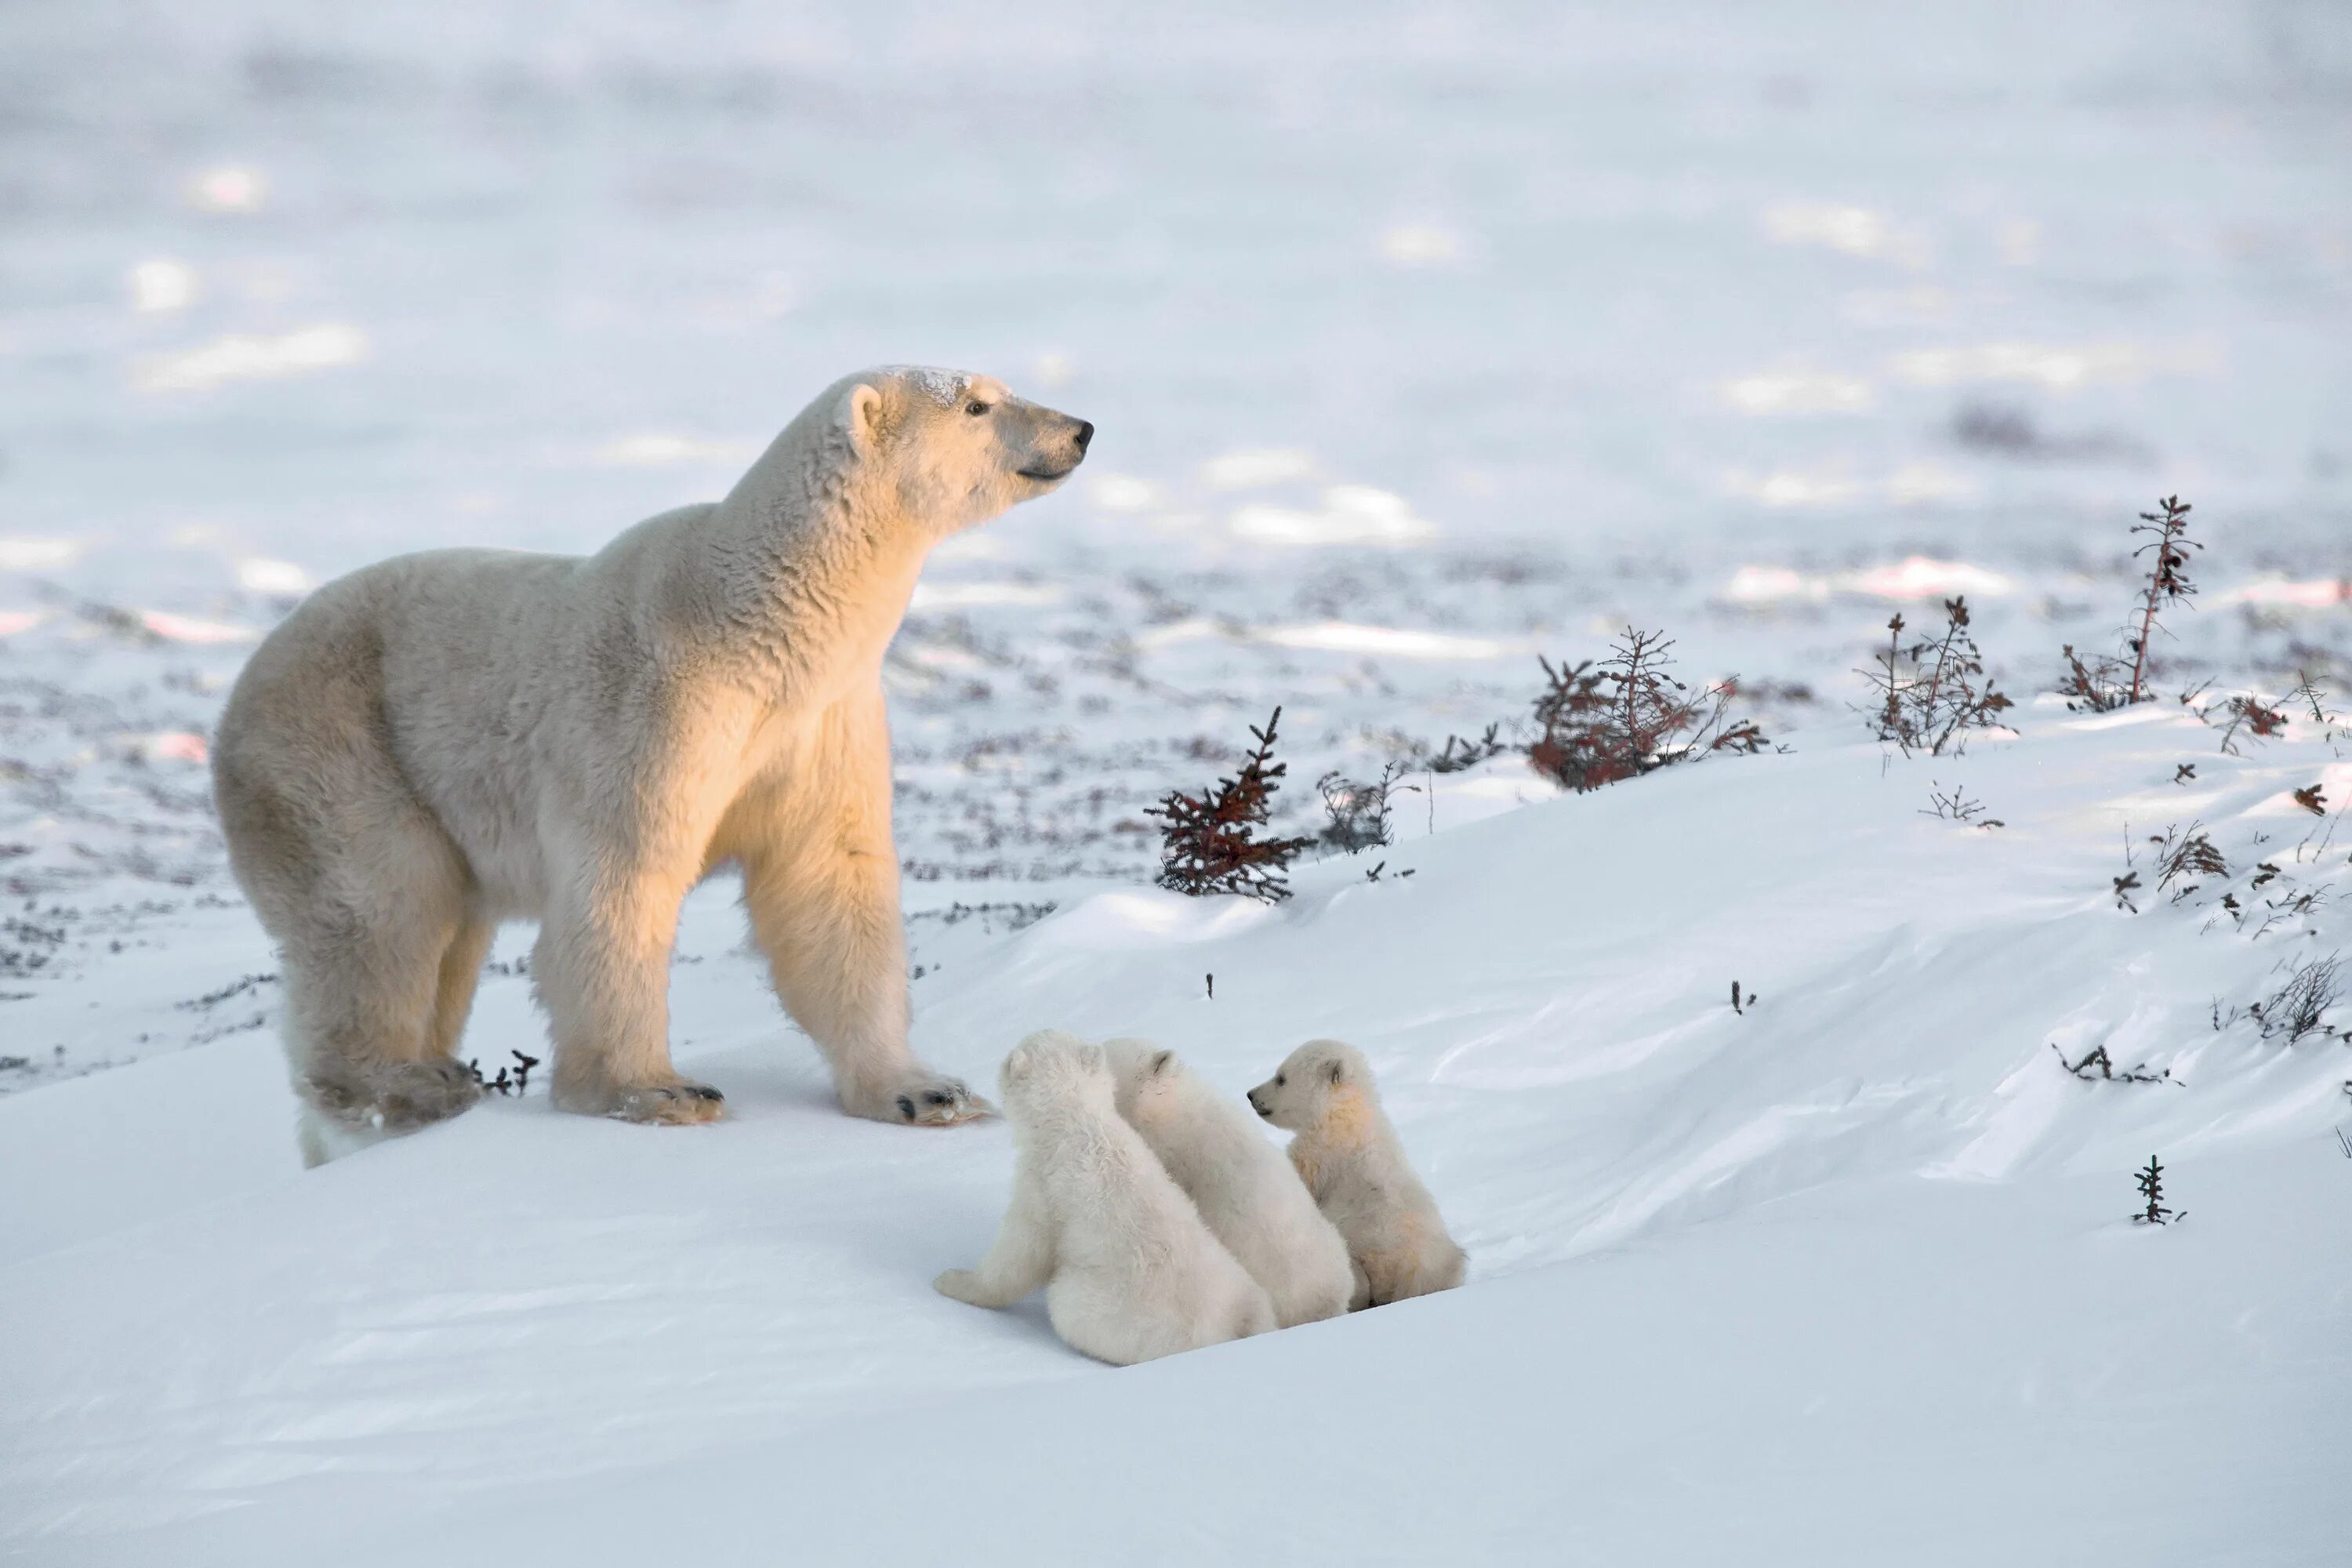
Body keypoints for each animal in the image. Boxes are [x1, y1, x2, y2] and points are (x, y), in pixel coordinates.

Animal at [207, 361, 1087, 1161]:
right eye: (978, 404)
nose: (1079, 429)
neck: (754, 621)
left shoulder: (822, 722)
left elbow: (829, 877)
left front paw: (926, 1091)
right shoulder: (654, 701)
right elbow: (622, 877)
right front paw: (660, 1090)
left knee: (445, 938)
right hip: (336, 750)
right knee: (382, 907)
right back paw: (411, 1084)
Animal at [927, 1029, 1279, 1363]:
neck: (1078, 1124)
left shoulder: (1043, 1187)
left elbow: (1018, 1254)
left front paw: (952, 1280)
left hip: (1117, 1312)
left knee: (1067, 1303)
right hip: (1244, 1287)